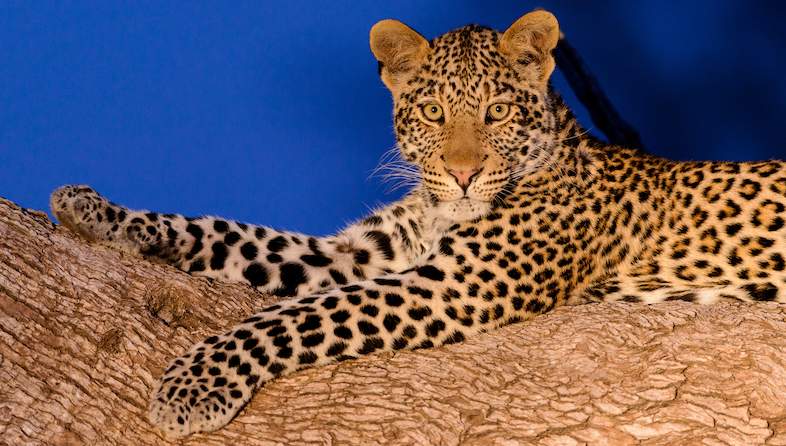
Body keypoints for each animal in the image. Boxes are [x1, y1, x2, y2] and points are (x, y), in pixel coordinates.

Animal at [49, 10, 786, 438]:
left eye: (496, 112)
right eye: (433, 112)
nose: (461, 173)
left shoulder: (455, 286)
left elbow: (297, 317)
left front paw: (192, 386)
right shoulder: (361, 253)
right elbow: (226, 235)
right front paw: (94, 210)